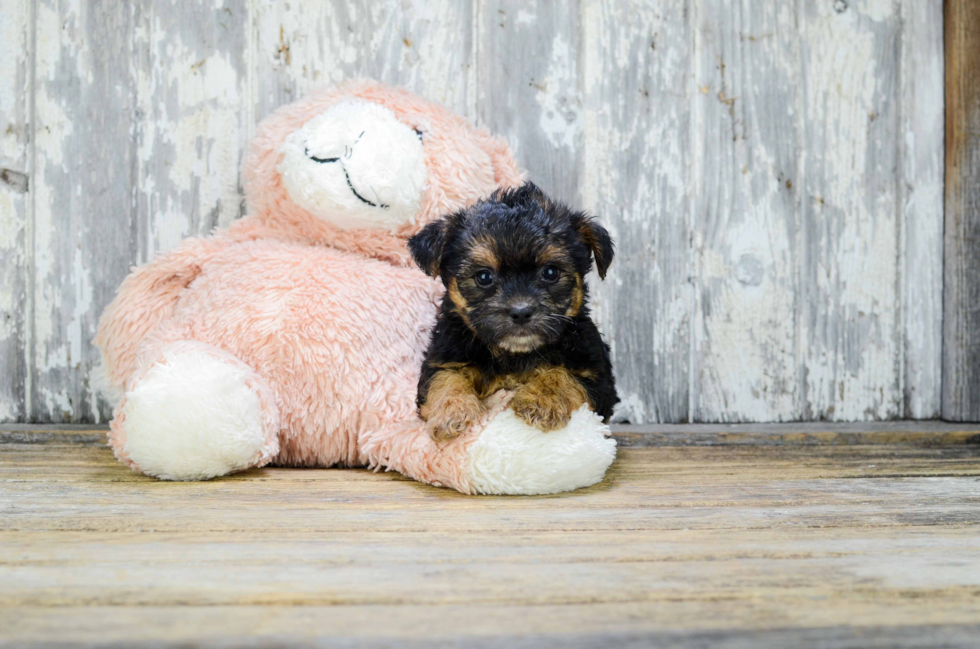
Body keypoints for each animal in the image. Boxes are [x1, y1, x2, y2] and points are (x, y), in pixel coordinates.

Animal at [410, 182, 616, 440]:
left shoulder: (598, 377)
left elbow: (563, 373)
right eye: (484, 277)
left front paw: (542, 401)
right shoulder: (442, 357)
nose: (521, 311)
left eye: (550, 272)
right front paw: (453, 411)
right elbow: (446, 377)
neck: (513, 354)